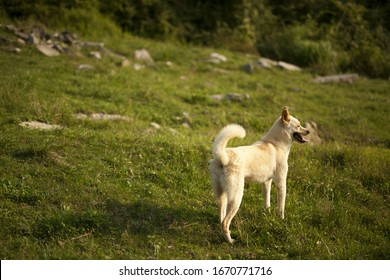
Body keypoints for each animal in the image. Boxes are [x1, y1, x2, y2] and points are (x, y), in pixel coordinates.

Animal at [209, 107, 310, 243]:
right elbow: (281, 207)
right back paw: (231, 241)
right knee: (225, 222)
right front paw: (281, 220)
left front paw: (267, 214)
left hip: (221, 196)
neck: (276, 144)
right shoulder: (281, 183)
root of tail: (222, 157)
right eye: (298, 126)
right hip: (237, 197)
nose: (308, 131)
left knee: (221, 219)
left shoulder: (267, 182)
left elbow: (267, 202)